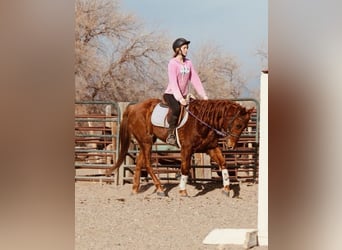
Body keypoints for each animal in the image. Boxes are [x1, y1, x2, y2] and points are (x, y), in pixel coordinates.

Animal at [105, 98, 252, 197]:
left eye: (244, 126)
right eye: (238, 125)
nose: (231, 145)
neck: (202, 121)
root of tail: (133, 108)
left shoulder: (211, 147)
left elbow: (223, 163)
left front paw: (226, 189)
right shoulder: (186, 149)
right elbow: (185, 168)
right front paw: (183, 190)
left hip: (146, 141)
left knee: (139, 162)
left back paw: (135, 189)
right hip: (146, 142)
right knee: (147, 163)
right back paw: (160, 189)